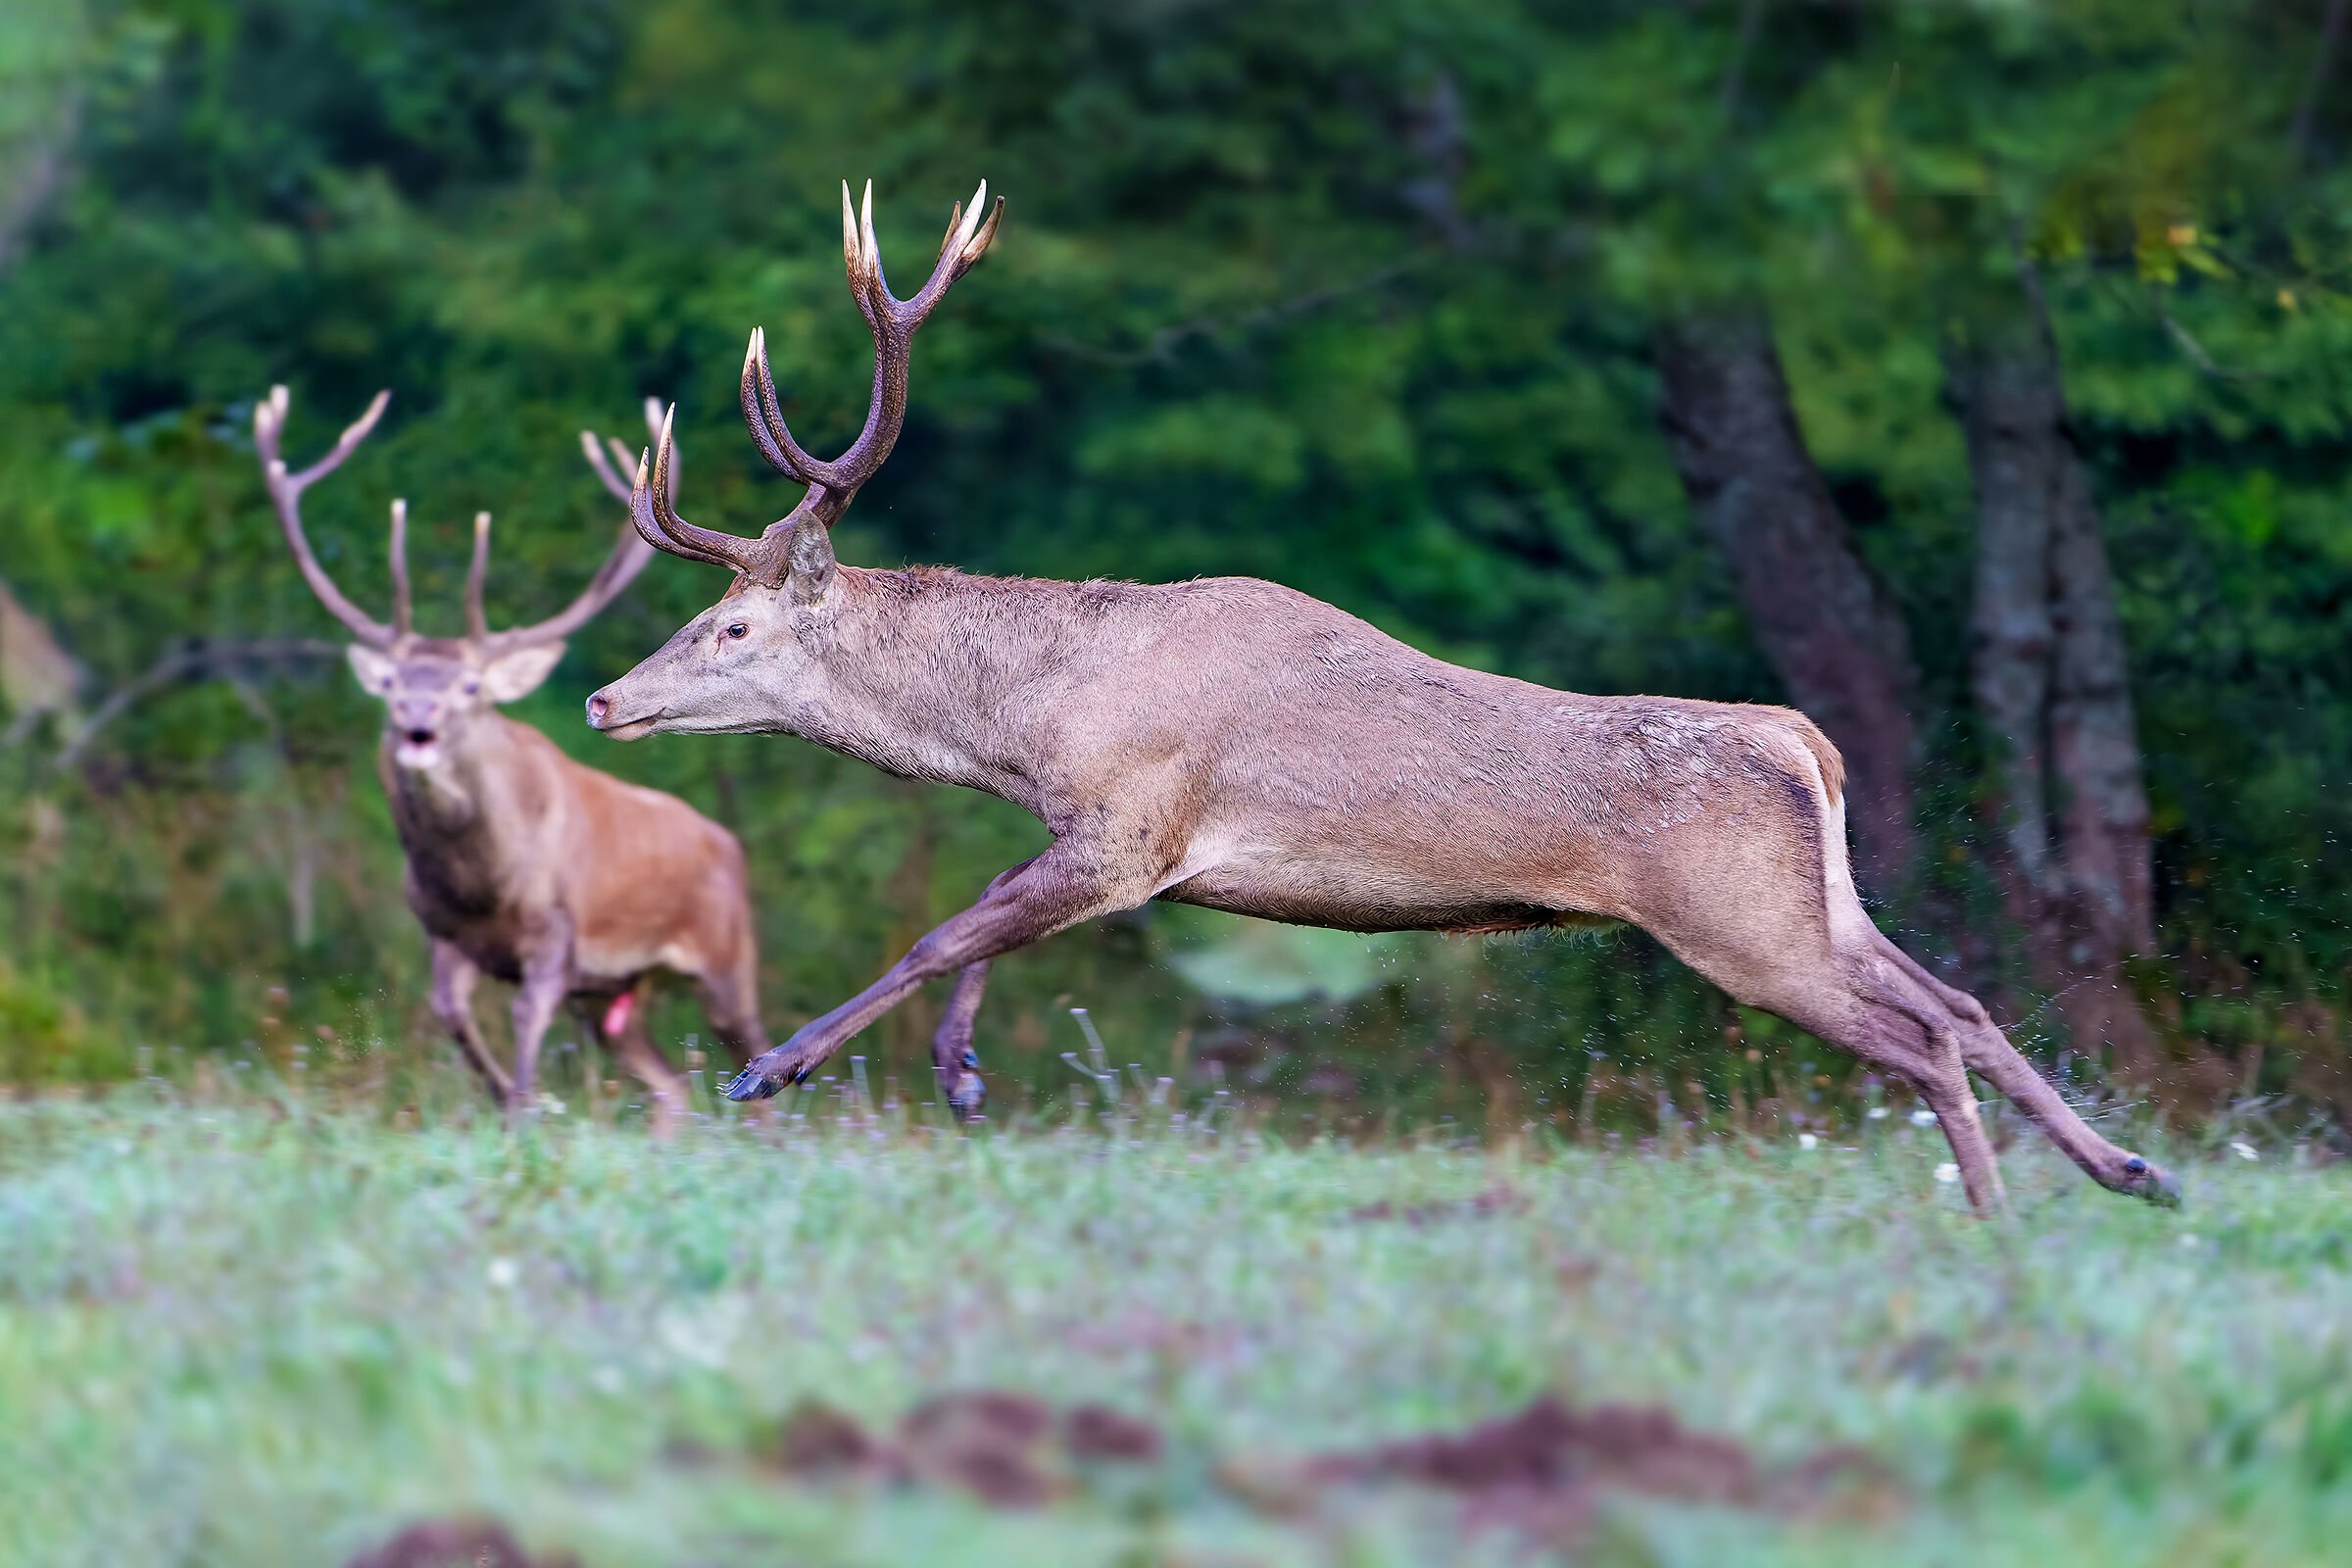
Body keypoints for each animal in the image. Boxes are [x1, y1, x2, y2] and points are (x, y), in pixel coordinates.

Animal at [255, 387, 769, 1131]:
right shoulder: (441, 934)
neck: (481, 885)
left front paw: (524, 1108)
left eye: (470, 688)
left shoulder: (557, 935)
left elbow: (525, 1017)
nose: (417, 719)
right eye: (392, 685)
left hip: (727, 959)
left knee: (755, 1055)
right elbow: (451, 1015)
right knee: (672, 1085)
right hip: (613, 993)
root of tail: (730, 846)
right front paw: (508, 1100)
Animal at [583, 179, 2179, 1212]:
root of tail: (1808, 744)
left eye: (729, 624)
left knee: (1925, 1035)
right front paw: (963, 1075)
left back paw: (1995, 1221)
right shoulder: (1109, 845)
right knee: (1964, 1000)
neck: (1029, 725)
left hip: (1743, 924)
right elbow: (980, 929)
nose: (604, 702)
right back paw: (2131, 1170)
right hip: (1817, 902)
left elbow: (942, 929)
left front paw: (776, 1069)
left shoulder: (1139, 827)